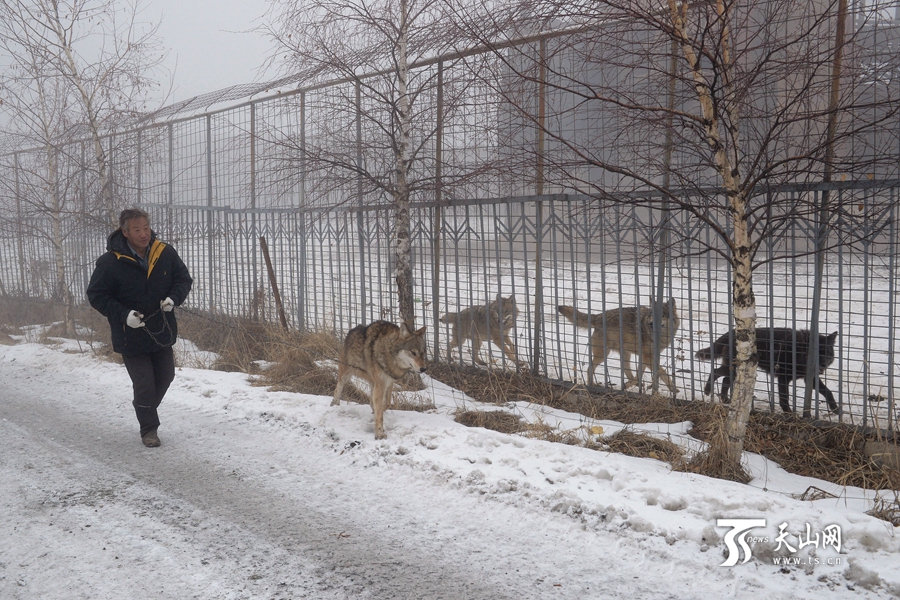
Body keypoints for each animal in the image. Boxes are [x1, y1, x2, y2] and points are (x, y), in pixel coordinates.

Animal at [556, 296, 684, 394]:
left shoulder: (646, 357)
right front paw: (673, 388)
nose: (651, 324)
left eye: (662, 315)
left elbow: (640, 375)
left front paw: (631, 384)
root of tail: (597, 316)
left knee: (628, 373)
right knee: (589, 368)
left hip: (625, 355)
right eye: (652, 315)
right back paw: (593, 385)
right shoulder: (648, 357)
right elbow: (663, 372)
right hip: (604, 354)